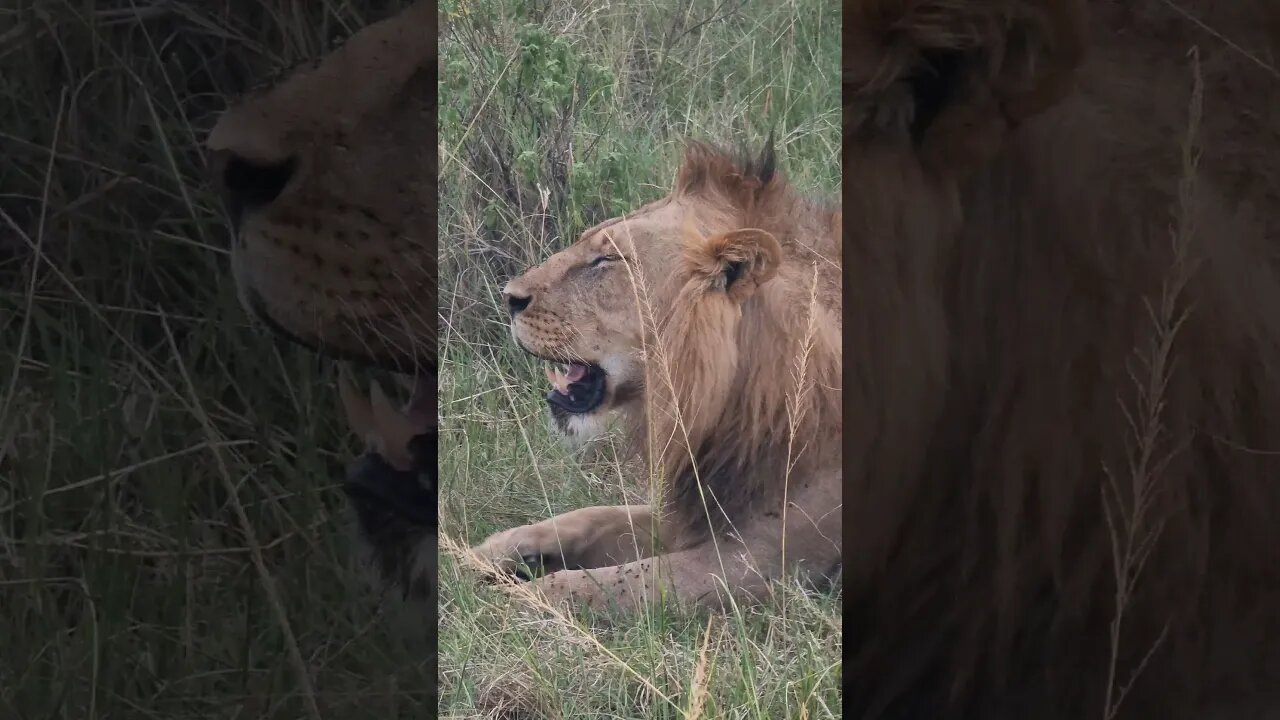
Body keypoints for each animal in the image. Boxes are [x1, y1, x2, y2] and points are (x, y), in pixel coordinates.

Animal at [468, 139, 844, 612]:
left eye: (606, 260)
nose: (508, 297)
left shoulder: (764, 566)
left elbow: (598, 584)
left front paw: (511, 600)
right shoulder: (695, 511)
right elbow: (591, 518)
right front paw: (488, 552)